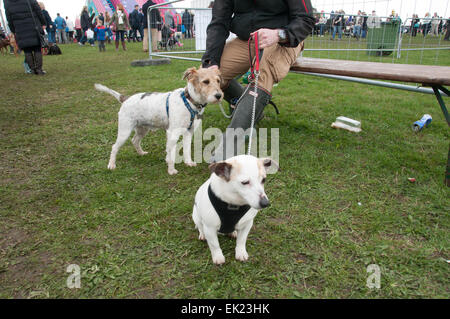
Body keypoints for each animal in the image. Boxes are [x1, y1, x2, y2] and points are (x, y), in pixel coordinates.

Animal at [95, 67, 223, 175]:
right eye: (205, 81)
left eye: (218, 80)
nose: (219, 95)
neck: (189, 101)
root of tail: (125, 99)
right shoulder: (172, 133)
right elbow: (171, 155)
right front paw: (171, 170)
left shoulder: (189, 132)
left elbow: (186, 150)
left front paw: (189, 163)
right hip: (124, 131)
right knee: (114, 147)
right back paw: (111, 165)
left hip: (142, 129)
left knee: (135, 140)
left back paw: (141, 153)